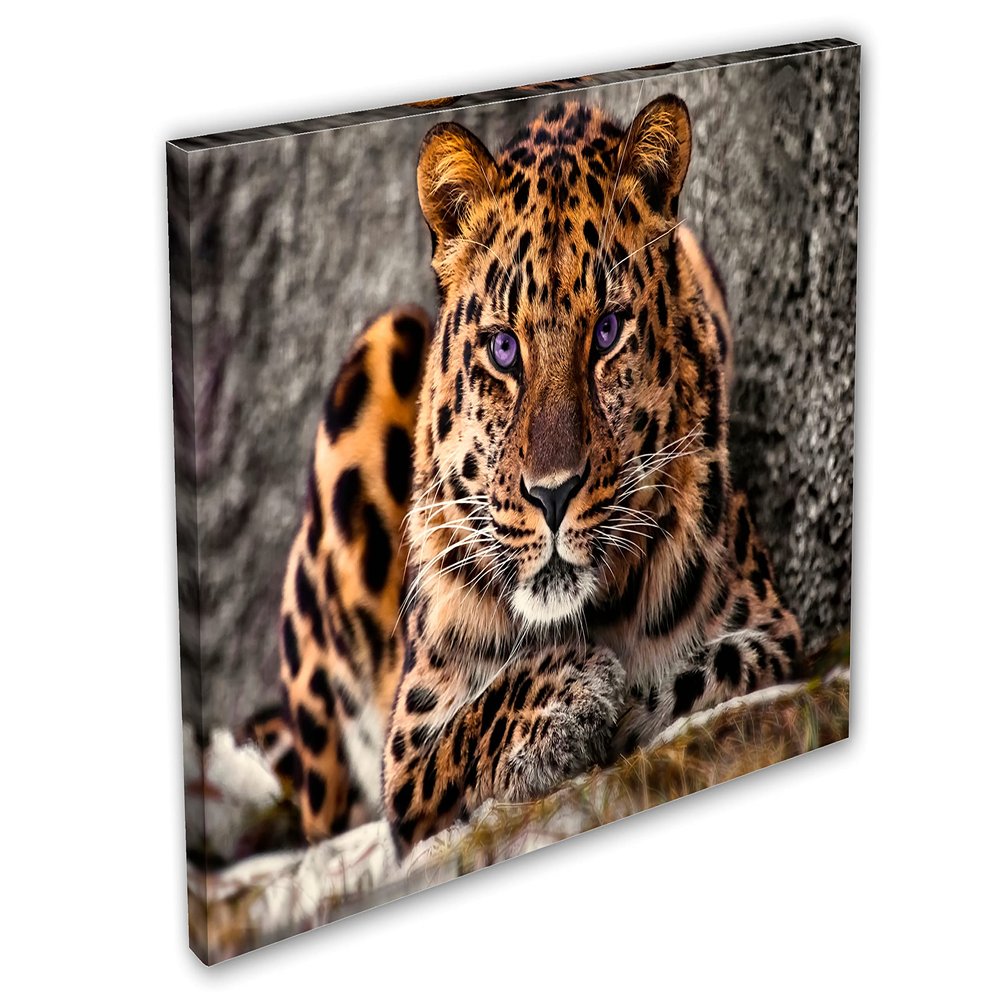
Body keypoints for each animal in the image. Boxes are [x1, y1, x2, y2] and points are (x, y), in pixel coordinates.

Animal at [273, 94, 802, 856]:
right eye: (503, 349)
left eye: (607, 332)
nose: (552, 495)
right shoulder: (407, 758)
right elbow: (471, 725)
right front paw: (568, 699)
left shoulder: (773, 635)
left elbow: (686, 678)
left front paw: (609, 697)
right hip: (378, 348)